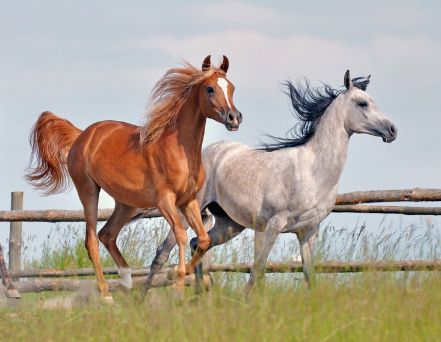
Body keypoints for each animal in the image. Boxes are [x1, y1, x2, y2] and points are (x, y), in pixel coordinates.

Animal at [26, 56, 242, 302]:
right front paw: (176, 284)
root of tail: (82, 135)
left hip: (126, 203)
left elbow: (204, 239)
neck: (179, 149)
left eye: (232, 87)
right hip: (88, 190)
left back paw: (127, 283)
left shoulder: (189, 201)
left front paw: (174, 274)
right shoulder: (165, 201)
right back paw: (107, 295)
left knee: (107, 234)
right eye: (210, 89)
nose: (234, 118)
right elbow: (180, 235)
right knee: (91, 241)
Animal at [144, 71, 396, 292]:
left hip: (229, 224)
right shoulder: (273, 225)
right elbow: (258, 270)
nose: (392, 130)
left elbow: (309, 275)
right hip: (186, 212)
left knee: (198, 243)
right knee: (162, 253)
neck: (312, 170)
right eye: (363, 103)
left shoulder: (308, 231)